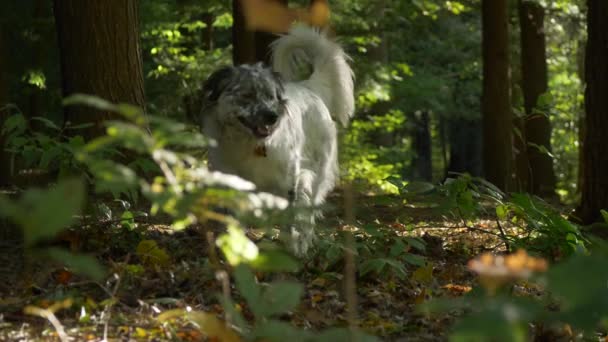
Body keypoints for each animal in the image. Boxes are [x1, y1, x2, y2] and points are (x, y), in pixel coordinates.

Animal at [197, 25, 354, 255]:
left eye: (271, 96)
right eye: (246, 95)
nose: (272, 116)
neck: (249, 144)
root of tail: (308, 87)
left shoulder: (288, 181)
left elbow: (290, 220)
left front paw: (292, 248)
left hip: (316, 173)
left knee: (309, 211)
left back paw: (305, 242)